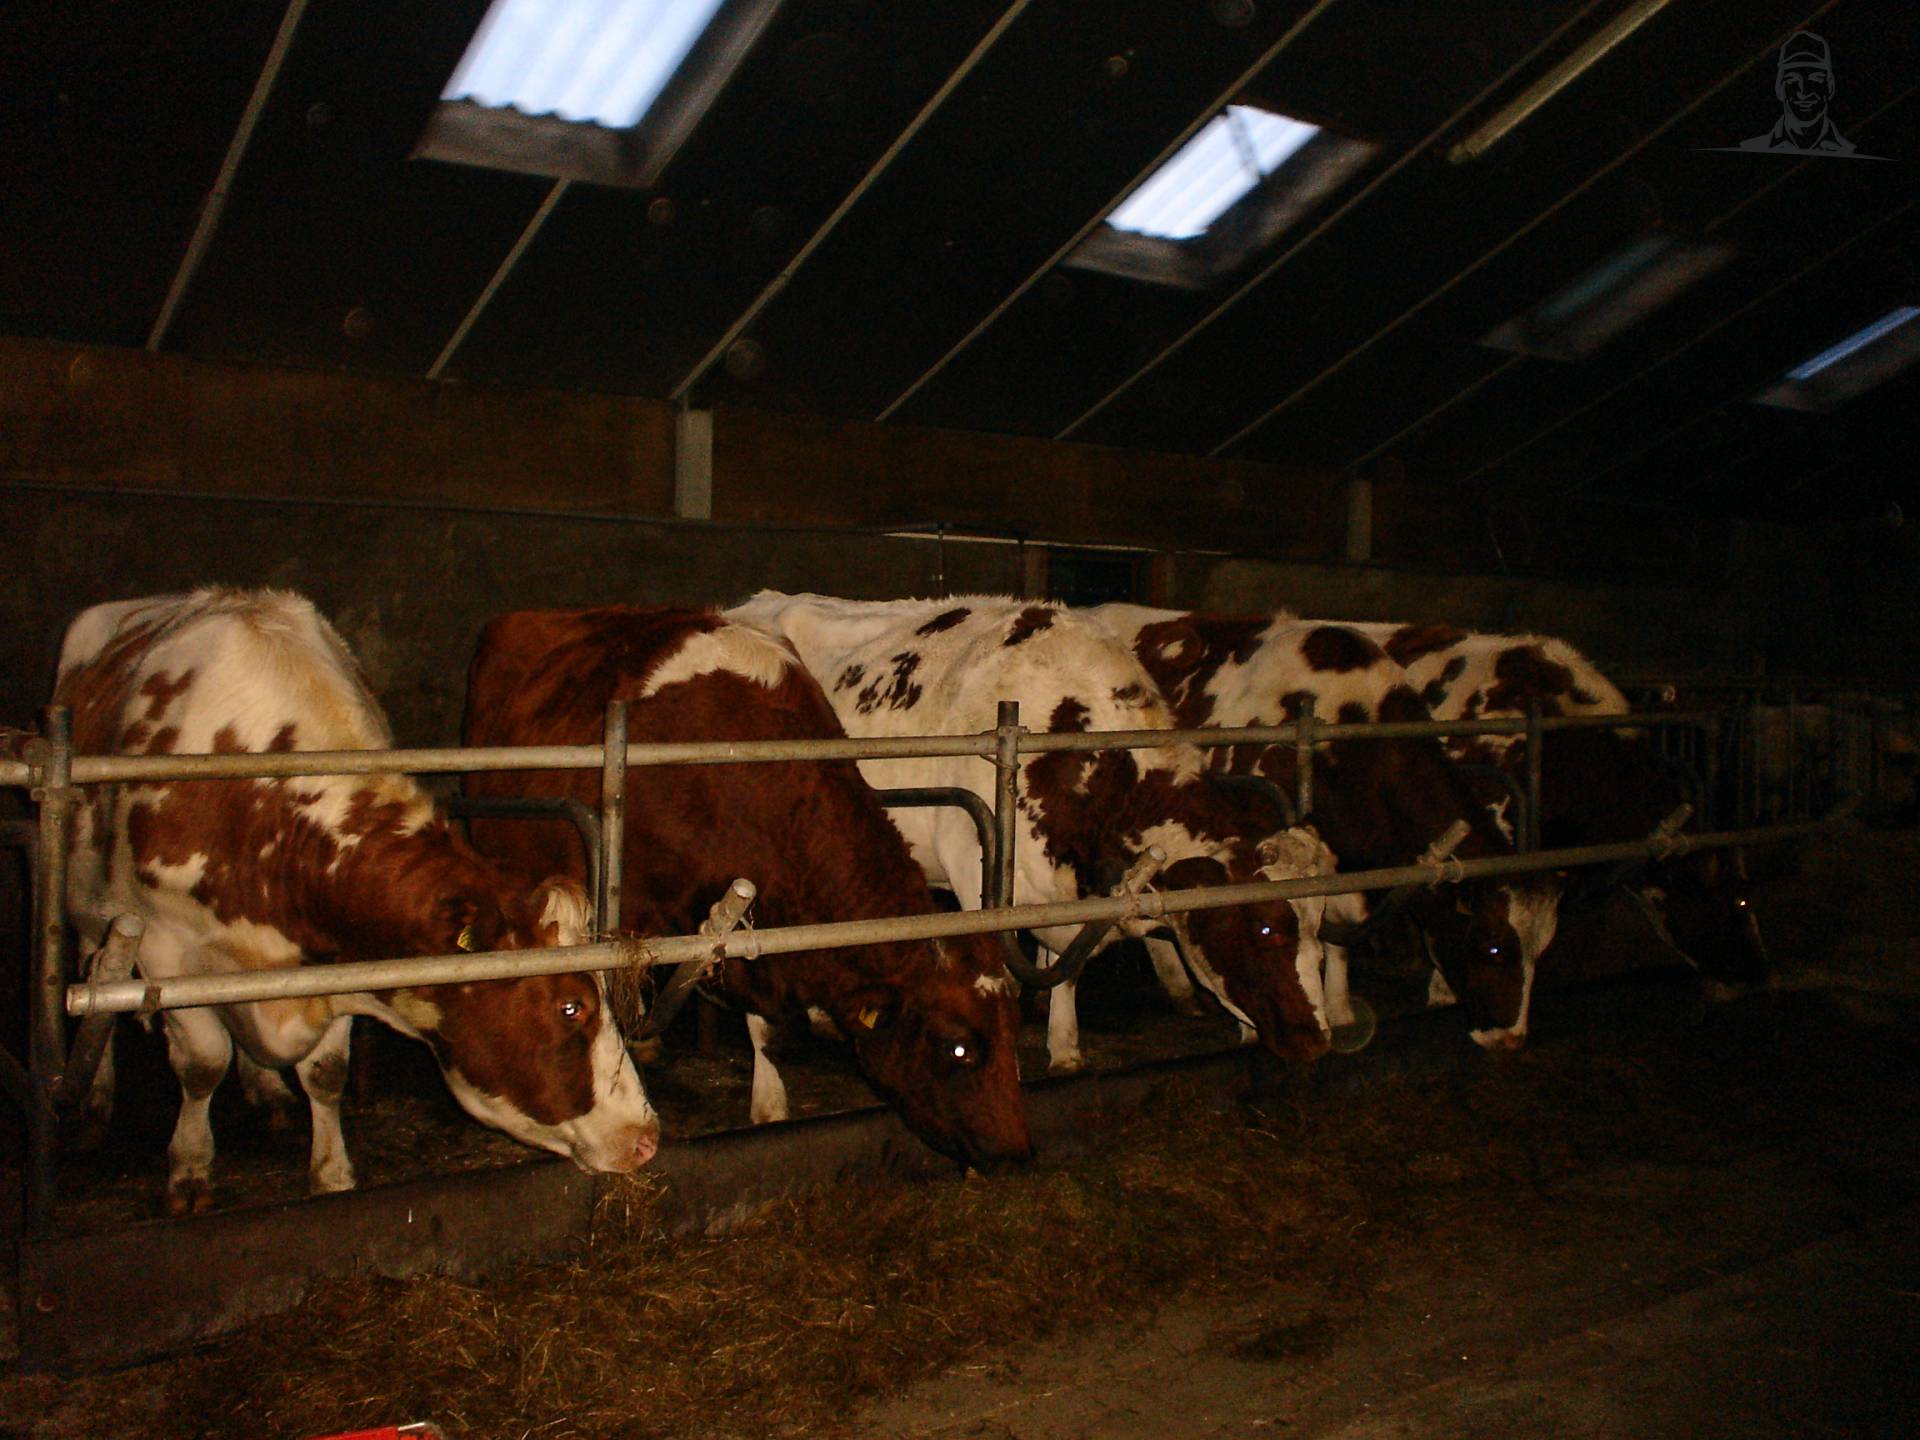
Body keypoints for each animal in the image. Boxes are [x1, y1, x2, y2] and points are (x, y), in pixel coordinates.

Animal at [55, 589, 658, 1216]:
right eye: (570, 1008)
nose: (646, 1137)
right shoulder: (167, 949)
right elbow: (201, 1065)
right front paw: (191, 1171)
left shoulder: (340, 959)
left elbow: (325, 1073)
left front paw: (332, 1174)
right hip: (89, 915)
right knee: (96, 981)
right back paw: (91, 1107)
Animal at [727, 592, 1338, 1075]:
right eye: (1266, 927)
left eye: (1317, 921)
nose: (1316, 1040)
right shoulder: (980, 870)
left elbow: (1064, 963)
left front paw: (1062, 1040)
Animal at [1091, 606, 1561, 1052]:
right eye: (1492, 947)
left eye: (1542, 950)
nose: (1509, 1040)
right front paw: (1253, 1026)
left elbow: (1333, 937)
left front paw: (1339, 1009)